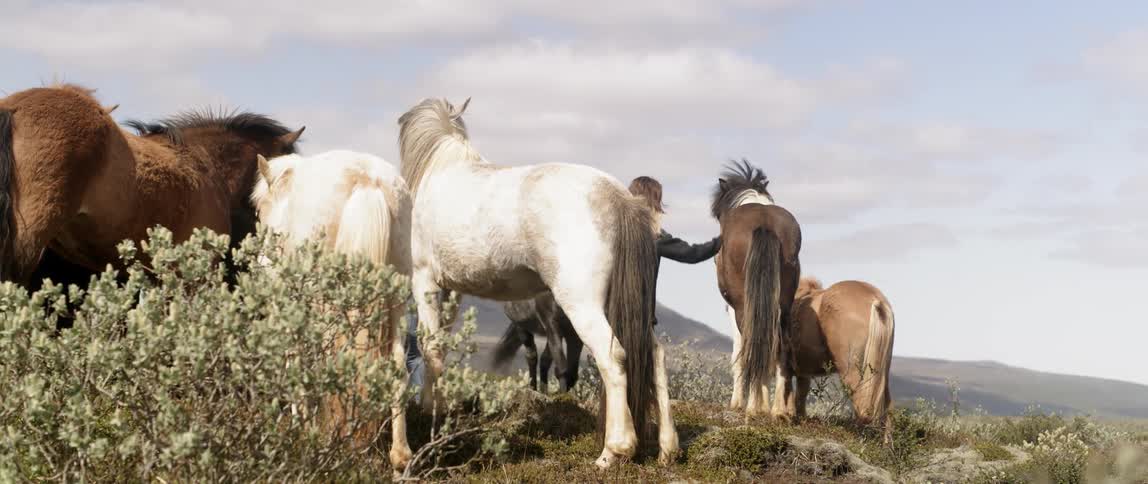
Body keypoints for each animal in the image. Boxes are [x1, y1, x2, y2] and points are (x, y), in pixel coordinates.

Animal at [249, 149, 415, 469]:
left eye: (260, 209)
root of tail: (368, 181)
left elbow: (298, 360)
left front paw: (302, 426)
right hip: (398, 299)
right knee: (398, 365)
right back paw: (400, 457)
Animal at [397, 97, 676, 469]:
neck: (441, 176)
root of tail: (619, 198)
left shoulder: (425, 280)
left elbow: (430, 347)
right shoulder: (451, 289)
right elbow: (438, 345)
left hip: (582, 305)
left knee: (612, 355)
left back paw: (613, 451)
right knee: (655, 355)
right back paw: (667, 450)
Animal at [710, 159, 802, 419]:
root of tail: (764, 225)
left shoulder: (733, 309)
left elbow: (739, 353)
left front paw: (739, 402)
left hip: (744, 308)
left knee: (754, 346)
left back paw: (753, 406)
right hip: (783, 307)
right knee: (780, 347)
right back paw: (779, 410)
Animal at [790, 277, 895, 437]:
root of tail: (876, 300)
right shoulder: (803, 372)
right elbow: (800, 399)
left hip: (853, 371)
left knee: (862, 407)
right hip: (881, 372)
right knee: (887, 411)